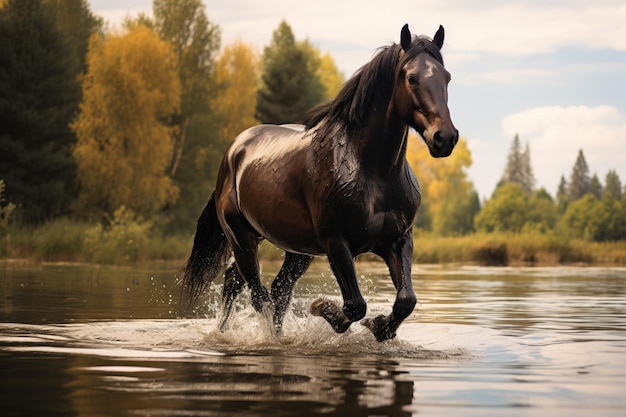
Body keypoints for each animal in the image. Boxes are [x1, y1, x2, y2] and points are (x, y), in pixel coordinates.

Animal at [183, 23, 456, 342]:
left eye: (446, 77)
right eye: (411, 77)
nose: (444, 138)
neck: (373, 171)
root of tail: (233, 151)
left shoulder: (398, 240)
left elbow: (405, 301)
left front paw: (379, 327)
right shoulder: (336, 242)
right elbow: (354, 306)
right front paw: (323, 309)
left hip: (291, 248)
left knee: (260, 288)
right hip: (242, 238)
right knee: (258, 295)